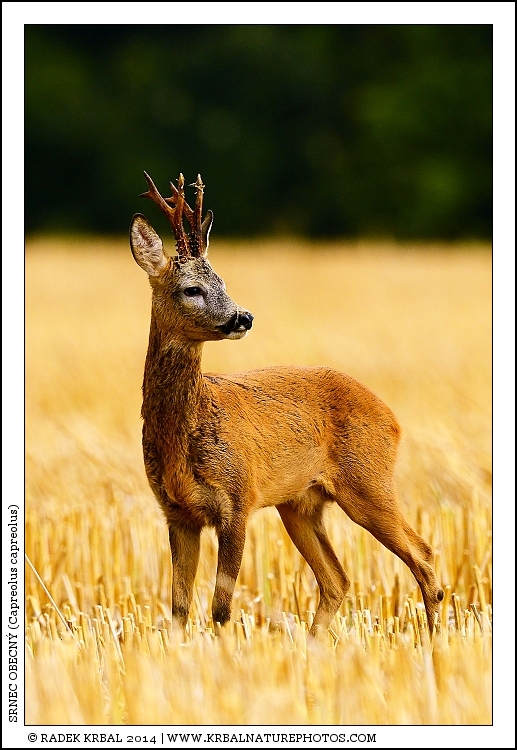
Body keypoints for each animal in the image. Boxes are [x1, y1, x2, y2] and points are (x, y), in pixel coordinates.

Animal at [130, 171, 444, 637]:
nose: (242, 317)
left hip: (369, 481)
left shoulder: (238, 498)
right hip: (300, 503)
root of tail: (392, 417)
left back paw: (435, 639)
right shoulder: (177, 512)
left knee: (421, 553)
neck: (184, 435)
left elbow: (220, 608)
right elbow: (179, 611)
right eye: (193, 289)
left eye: (225, 283)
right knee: (337, 579)